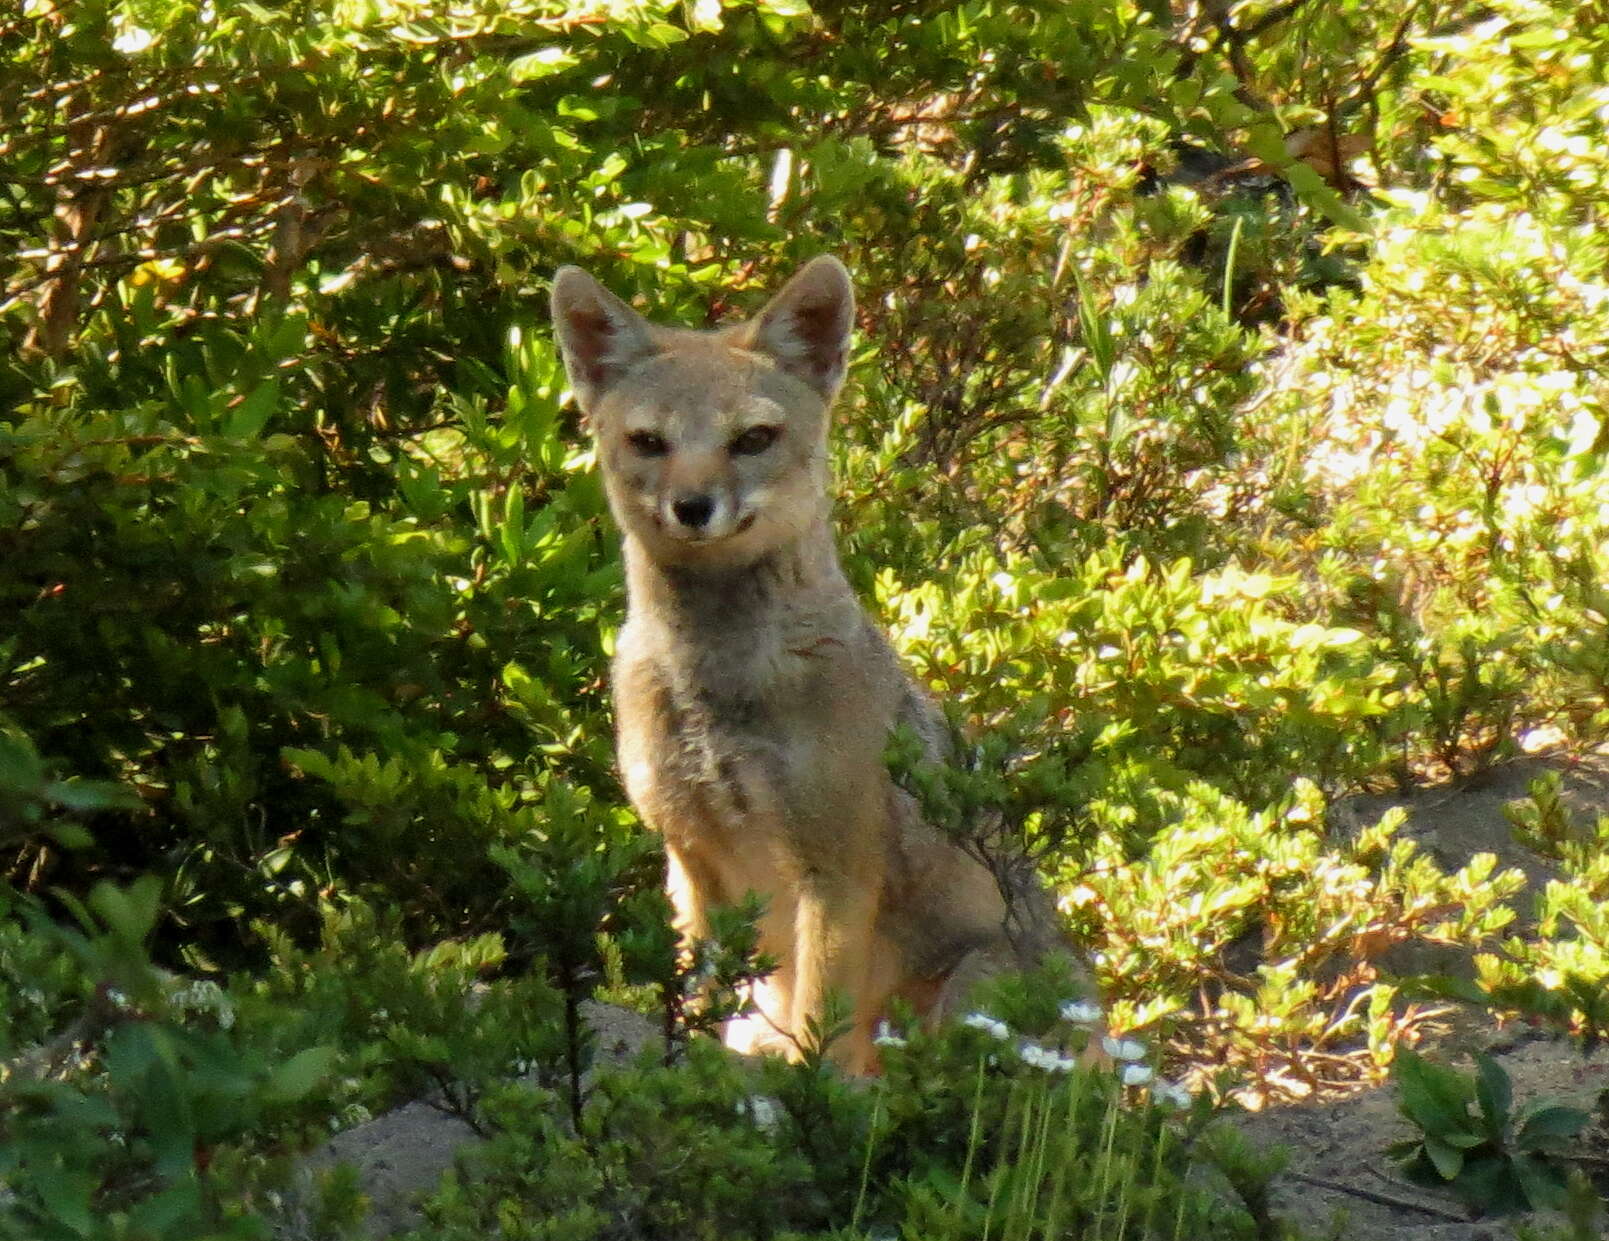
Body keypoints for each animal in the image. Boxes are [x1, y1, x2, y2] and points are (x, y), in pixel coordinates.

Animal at [553, 257, 1081, 1075]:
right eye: (648, 441)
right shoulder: (690, 861)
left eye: (752, 438)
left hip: (966, 995)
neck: (716, 684)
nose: (692, 506)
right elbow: (690, 1014)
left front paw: (808, 1095)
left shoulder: (835, 871)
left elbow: (819, 1039)